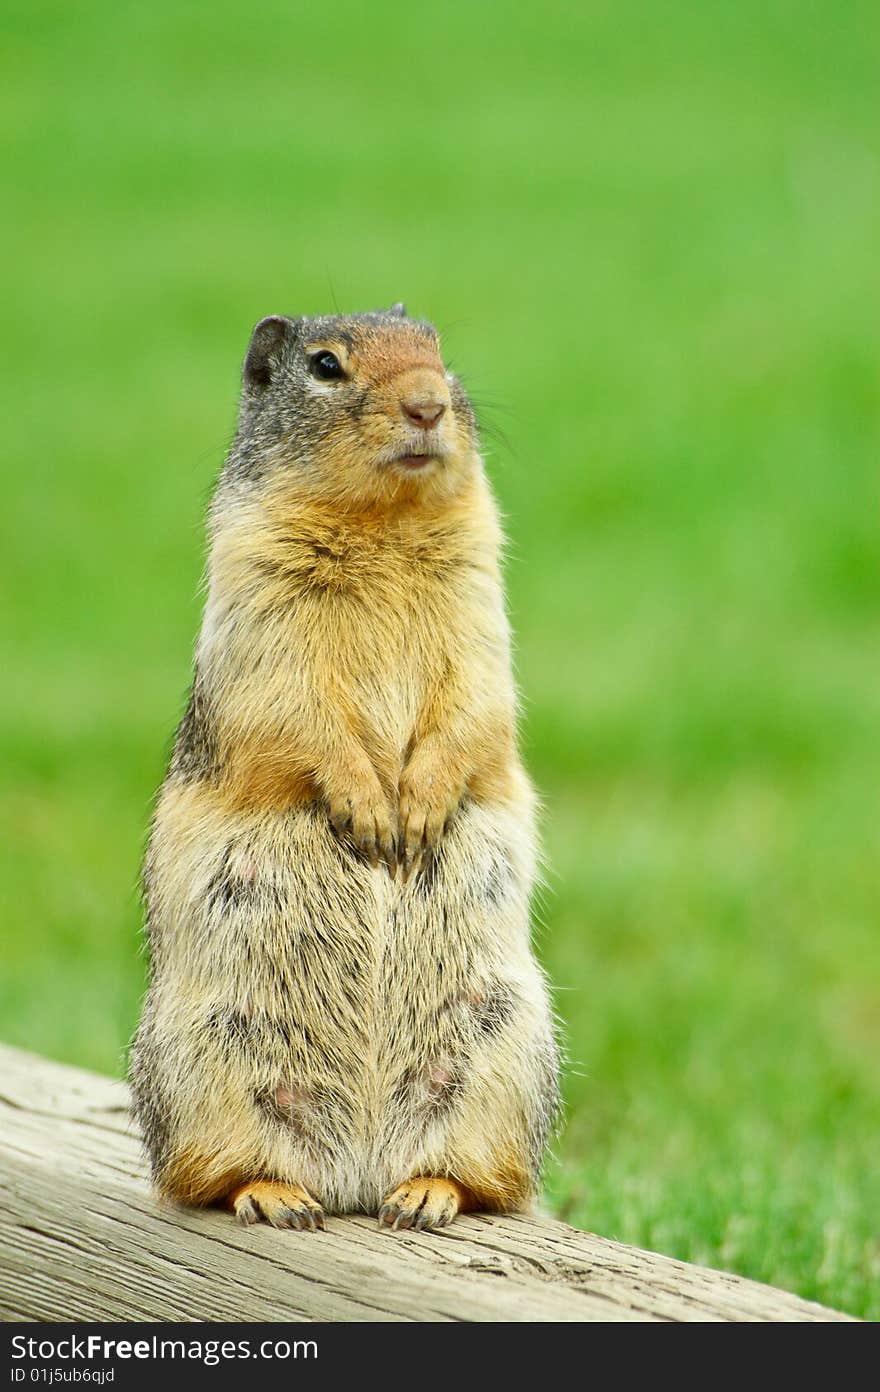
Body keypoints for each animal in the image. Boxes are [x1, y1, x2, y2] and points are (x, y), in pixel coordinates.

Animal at [130, 304, 556, 1230]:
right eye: (326, 365)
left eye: (437, 349)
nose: (429, 404)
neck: (385, 527)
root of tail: (356, 1171)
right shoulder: (262, 610)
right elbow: (299, 713)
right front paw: (369, 808)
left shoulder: (480, 607)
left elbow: (476, 704)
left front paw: (419, 806)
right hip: (198, 1062)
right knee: (208, 1177)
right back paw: (275, 1198)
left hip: (504, 1057)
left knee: (483, 1180)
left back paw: (426, 1196)